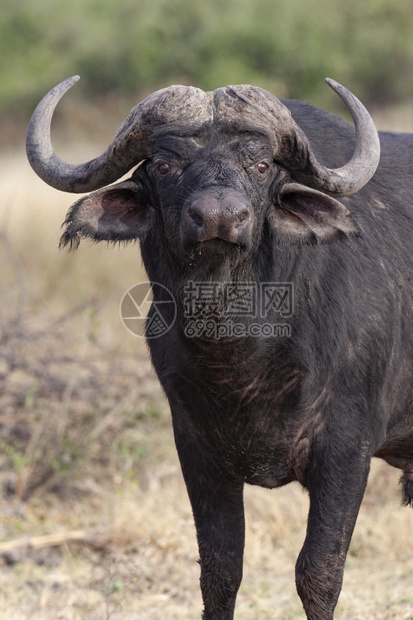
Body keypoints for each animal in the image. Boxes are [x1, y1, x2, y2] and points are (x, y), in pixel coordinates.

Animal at [26, 78, 412, 620]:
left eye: (262, 165)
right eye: (164, 165)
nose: (219, 218)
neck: (242, 353)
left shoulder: (346, 451)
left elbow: (319, 572)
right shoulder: (198, 451)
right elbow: (220, 570)